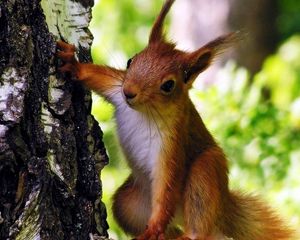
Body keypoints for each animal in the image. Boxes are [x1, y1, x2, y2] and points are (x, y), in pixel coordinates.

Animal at [56, 0, 296, 240]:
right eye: (131, 60)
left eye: (168, 85)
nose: (129, 92)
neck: (145, 112)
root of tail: (223, 209)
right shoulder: (116, 88)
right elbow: (98, 76)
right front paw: (74, 65)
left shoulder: (173, 143)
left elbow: (167, 187)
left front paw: (154, 228)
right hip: (130, 203)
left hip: (206, 171)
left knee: (198, 225)